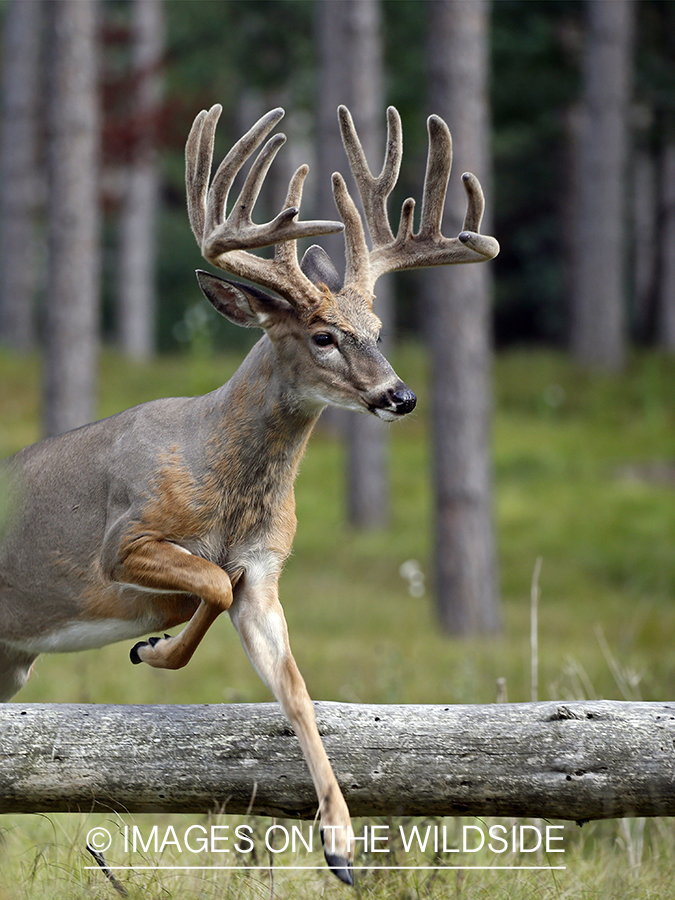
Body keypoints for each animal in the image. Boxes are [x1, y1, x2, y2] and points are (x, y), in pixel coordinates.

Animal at [0, 102, 496, 884]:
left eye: (379, 330)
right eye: (322, 336)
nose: (401, 396)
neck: (228, 491)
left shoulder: (266, 569)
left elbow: (295, 689)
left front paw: (340, 843)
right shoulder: (124, 538)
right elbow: (209, 582)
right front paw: (152, 647)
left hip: (11, 661)